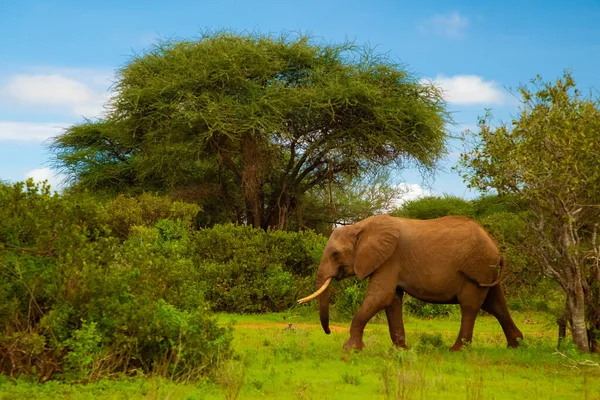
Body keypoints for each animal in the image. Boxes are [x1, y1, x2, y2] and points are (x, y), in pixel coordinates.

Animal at [298, 216, 524, 350]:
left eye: (335, 254)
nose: (328, 332)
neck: (360, 227)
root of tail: (497, 248)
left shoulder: (389, 259)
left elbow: (381, 297)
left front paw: (351, 349)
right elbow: (391, 301)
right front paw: (400, 350)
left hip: (478, 269)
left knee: (470, 306)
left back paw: (457, 350)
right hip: (488, 271)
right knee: (495, 304)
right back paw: (516, 345)